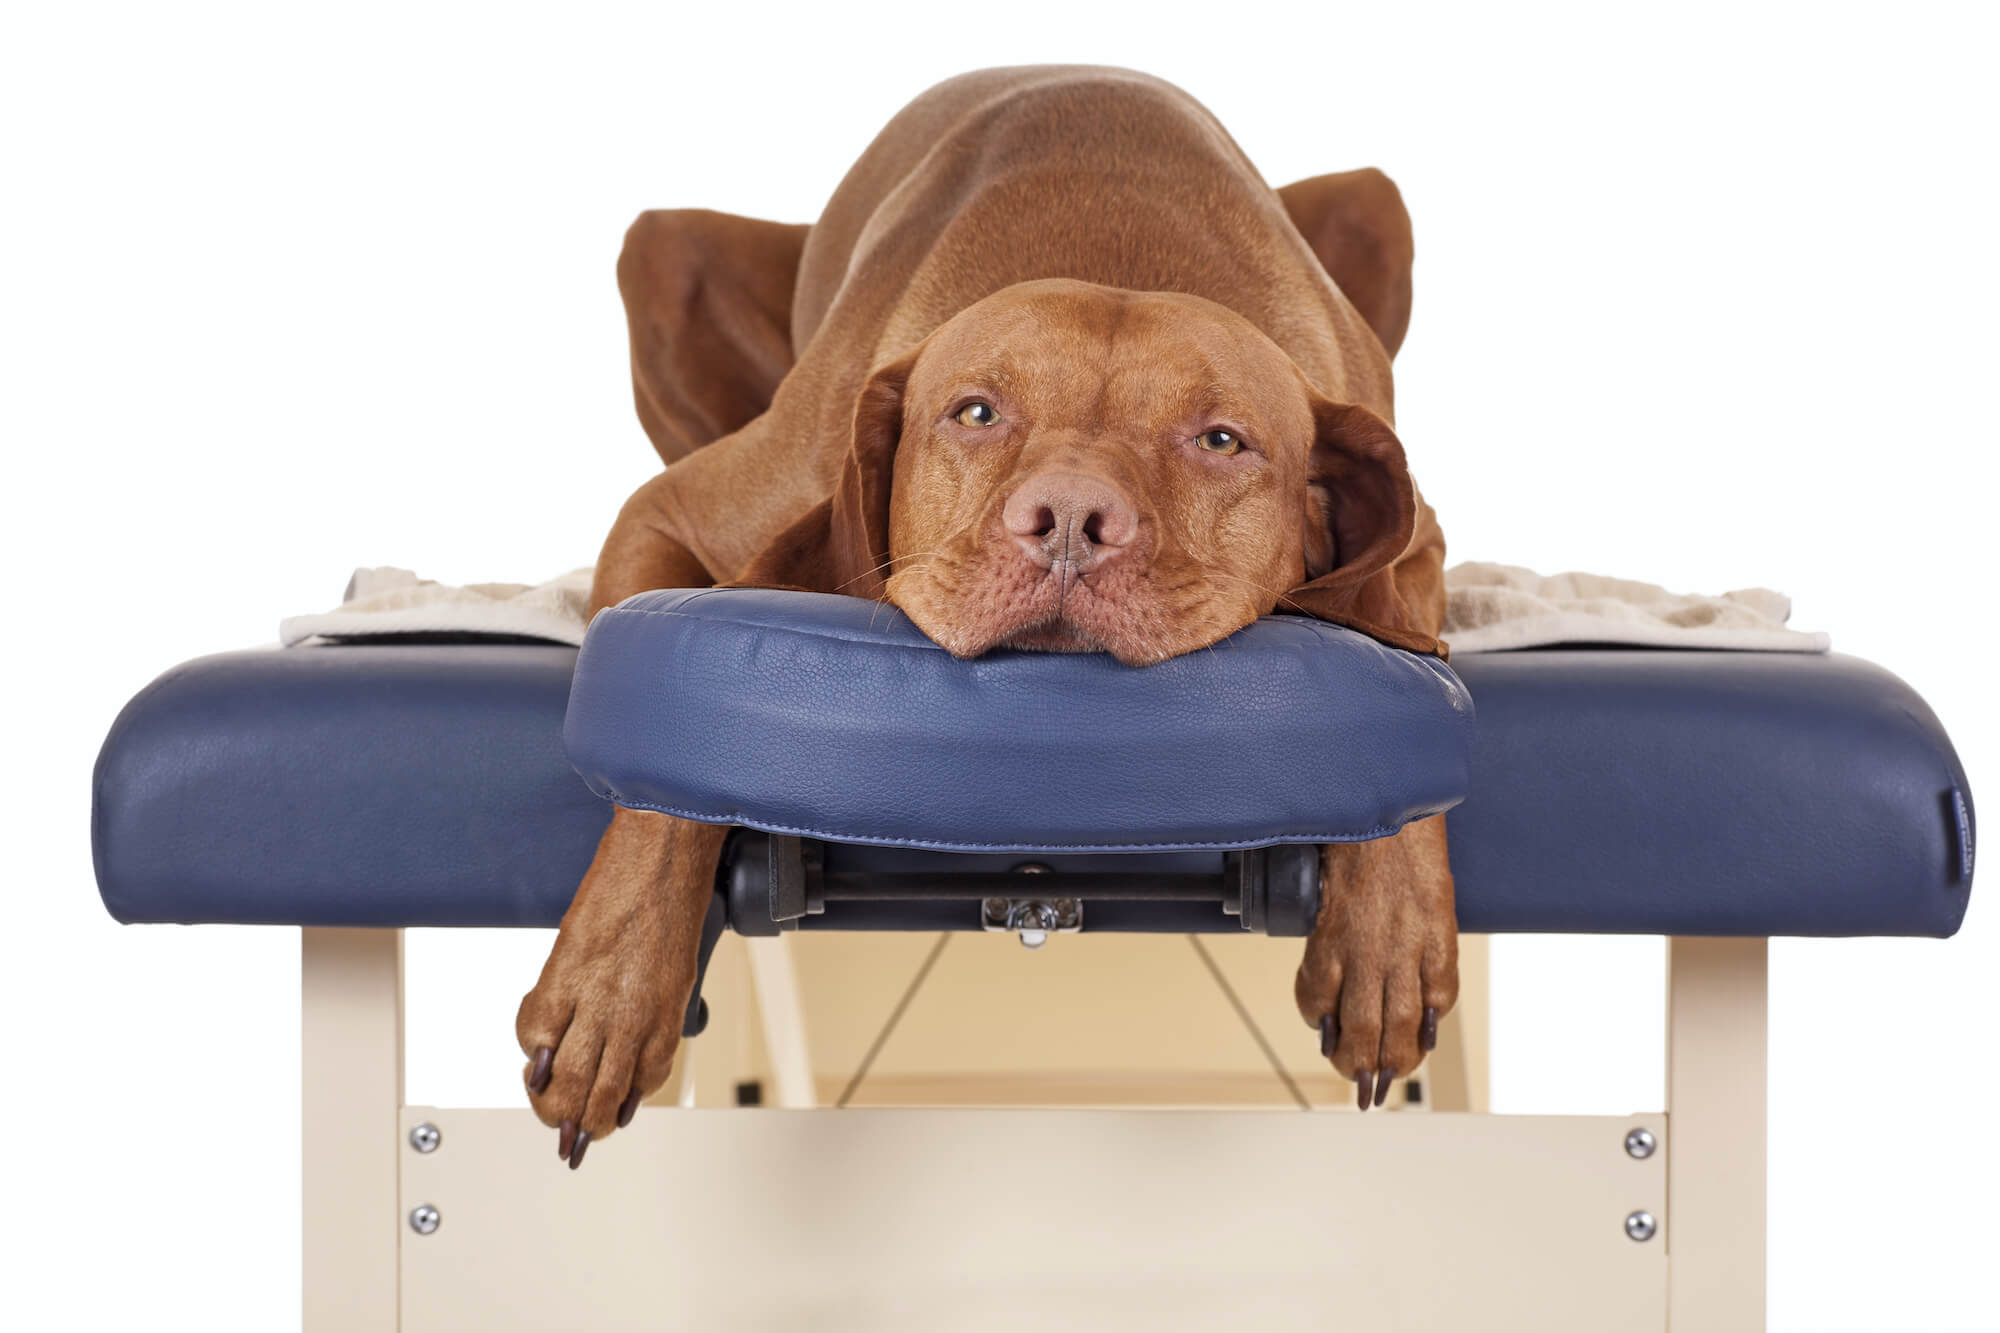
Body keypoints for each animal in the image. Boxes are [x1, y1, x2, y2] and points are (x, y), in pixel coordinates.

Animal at [516, 67, 1456, 1160]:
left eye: (1220, 439)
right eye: (974, 412)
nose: (1069, 522)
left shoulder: (1420, 542)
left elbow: (1404, 668)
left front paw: (1386, 939)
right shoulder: (668, 513)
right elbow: (664, 743)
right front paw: (609, 990)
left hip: (1373, 202)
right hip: (659, 249)